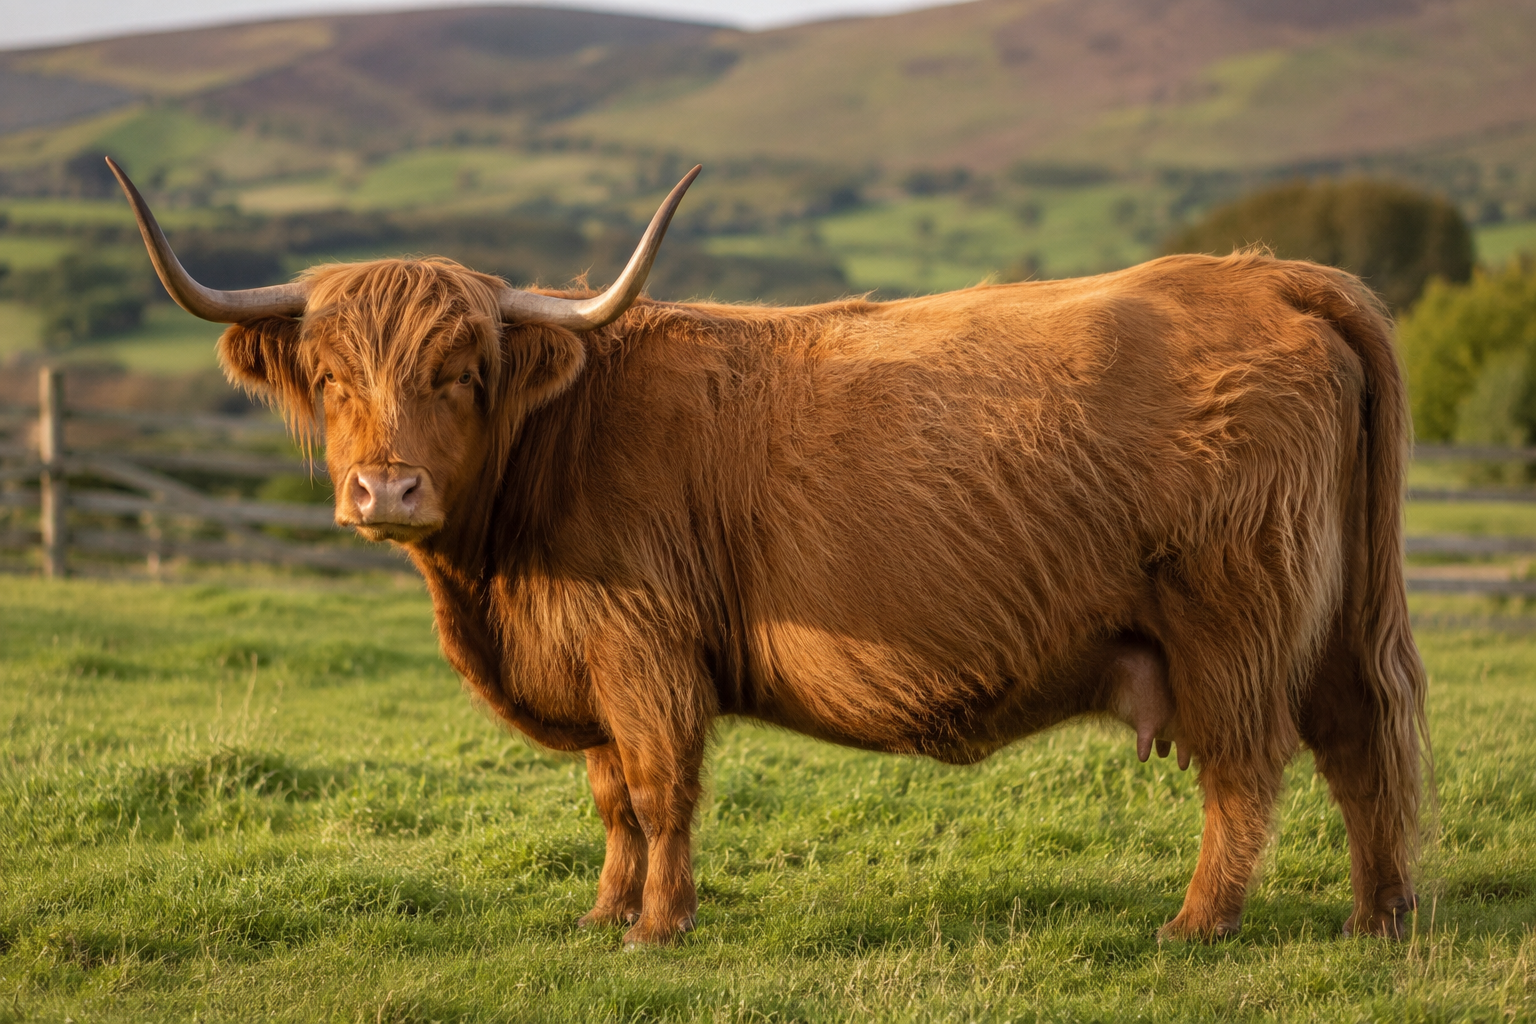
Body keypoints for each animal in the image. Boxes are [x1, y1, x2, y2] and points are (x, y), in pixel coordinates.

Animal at [109, 157, 1427, 948]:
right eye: (331, 377)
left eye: (461, 371)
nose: (386, 489)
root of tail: (1275, 279)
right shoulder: (596, 667)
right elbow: (610, 800)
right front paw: (601, 915)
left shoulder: (647, 654)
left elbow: (657, 789)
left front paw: (657, 930)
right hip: (1333, 616)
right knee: (1363, 743)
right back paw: (1378, 918)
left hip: (1232, 620)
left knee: (1248, 767)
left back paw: (1197, 925)